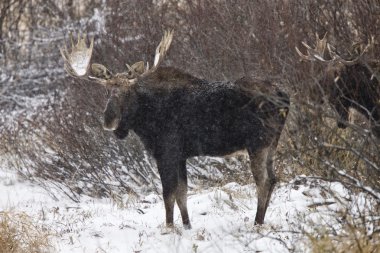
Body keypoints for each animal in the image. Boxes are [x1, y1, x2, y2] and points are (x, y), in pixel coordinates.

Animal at [60, 30, 288, 228]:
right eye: (106, 92)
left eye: (128, 91)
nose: (109, 120)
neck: (144, 121)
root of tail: (284, 96)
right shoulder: (180, 156)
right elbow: (182, 195)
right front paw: (187, 226)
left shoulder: (166, 153)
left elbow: (168, 194)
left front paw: (169, 227)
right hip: (271, 144)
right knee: (273, 178)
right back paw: (261, 220)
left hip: (258, 143)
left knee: (263, 182)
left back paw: (256, 223)